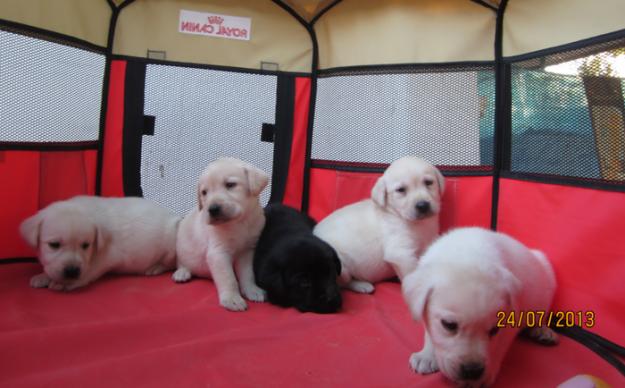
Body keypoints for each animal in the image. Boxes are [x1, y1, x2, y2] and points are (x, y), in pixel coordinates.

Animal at [19, 197, 179, 292]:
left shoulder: (105, 258)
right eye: (54, 244)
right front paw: (43, 276)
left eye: (86, 245)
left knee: (170, 263)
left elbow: (89, 271)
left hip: (171, 245)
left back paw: (155, 267)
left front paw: (63, 283)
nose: (72, 271)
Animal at [173, 158, 268, 312]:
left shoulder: (247, 251)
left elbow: (248, 274)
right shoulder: (218, 253)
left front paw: (252, 290)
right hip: (181, 249)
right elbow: (229, 278)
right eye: (204, 192)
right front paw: (232, 299)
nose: (212, 209)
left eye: (230, 185)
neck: (239, 223)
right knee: (181, 262)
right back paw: (182, 273)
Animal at [312, 156, 444, 292]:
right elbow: (411, 274)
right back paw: (362, 285)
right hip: (341, 266)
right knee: (343, 283)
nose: (422, 205)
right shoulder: (401, 254)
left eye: (428, 182)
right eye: (401, 190)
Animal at [402, 226, 560, 386]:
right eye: (449, 325)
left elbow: (499, 346)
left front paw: (487, 374)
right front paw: (427, 355)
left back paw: (542, 330)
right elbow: (430, 333)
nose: (472, 371)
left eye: (494, 330)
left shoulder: (511, 320)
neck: (467, 255)